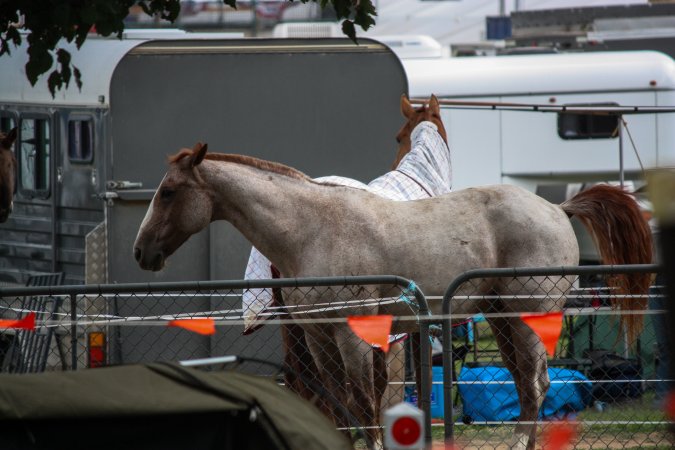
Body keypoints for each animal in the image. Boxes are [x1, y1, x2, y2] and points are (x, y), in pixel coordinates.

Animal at [133, 120, 651, 450]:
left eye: (169, 192)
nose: (142, 252)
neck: (312, 229)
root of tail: (558, 209)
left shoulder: (355, 336)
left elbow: (363, 405)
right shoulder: (320, 338)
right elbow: (339, 407)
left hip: (528, 318)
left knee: (537, 384)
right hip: (502, 319)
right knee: (526, 386)